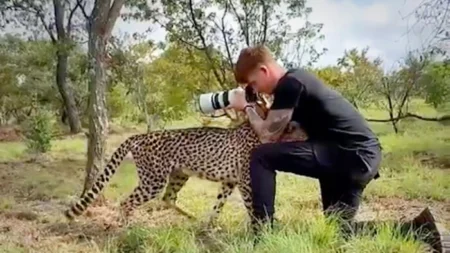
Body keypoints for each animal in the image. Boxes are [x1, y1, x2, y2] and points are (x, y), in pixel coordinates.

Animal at [63, 103, 308, 227]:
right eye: (299, 126)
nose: (308, 134)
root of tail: (140, 136)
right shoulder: (245, 182)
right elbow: (252, 206)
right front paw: (260, 229)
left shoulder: (229, 181)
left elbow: (219, 205)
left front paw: (211, 225)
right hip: (153, 181)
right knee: (127, 202)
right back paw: (124, 227)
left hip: (179, 174)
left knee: (168, 198)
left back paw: (193, 218)